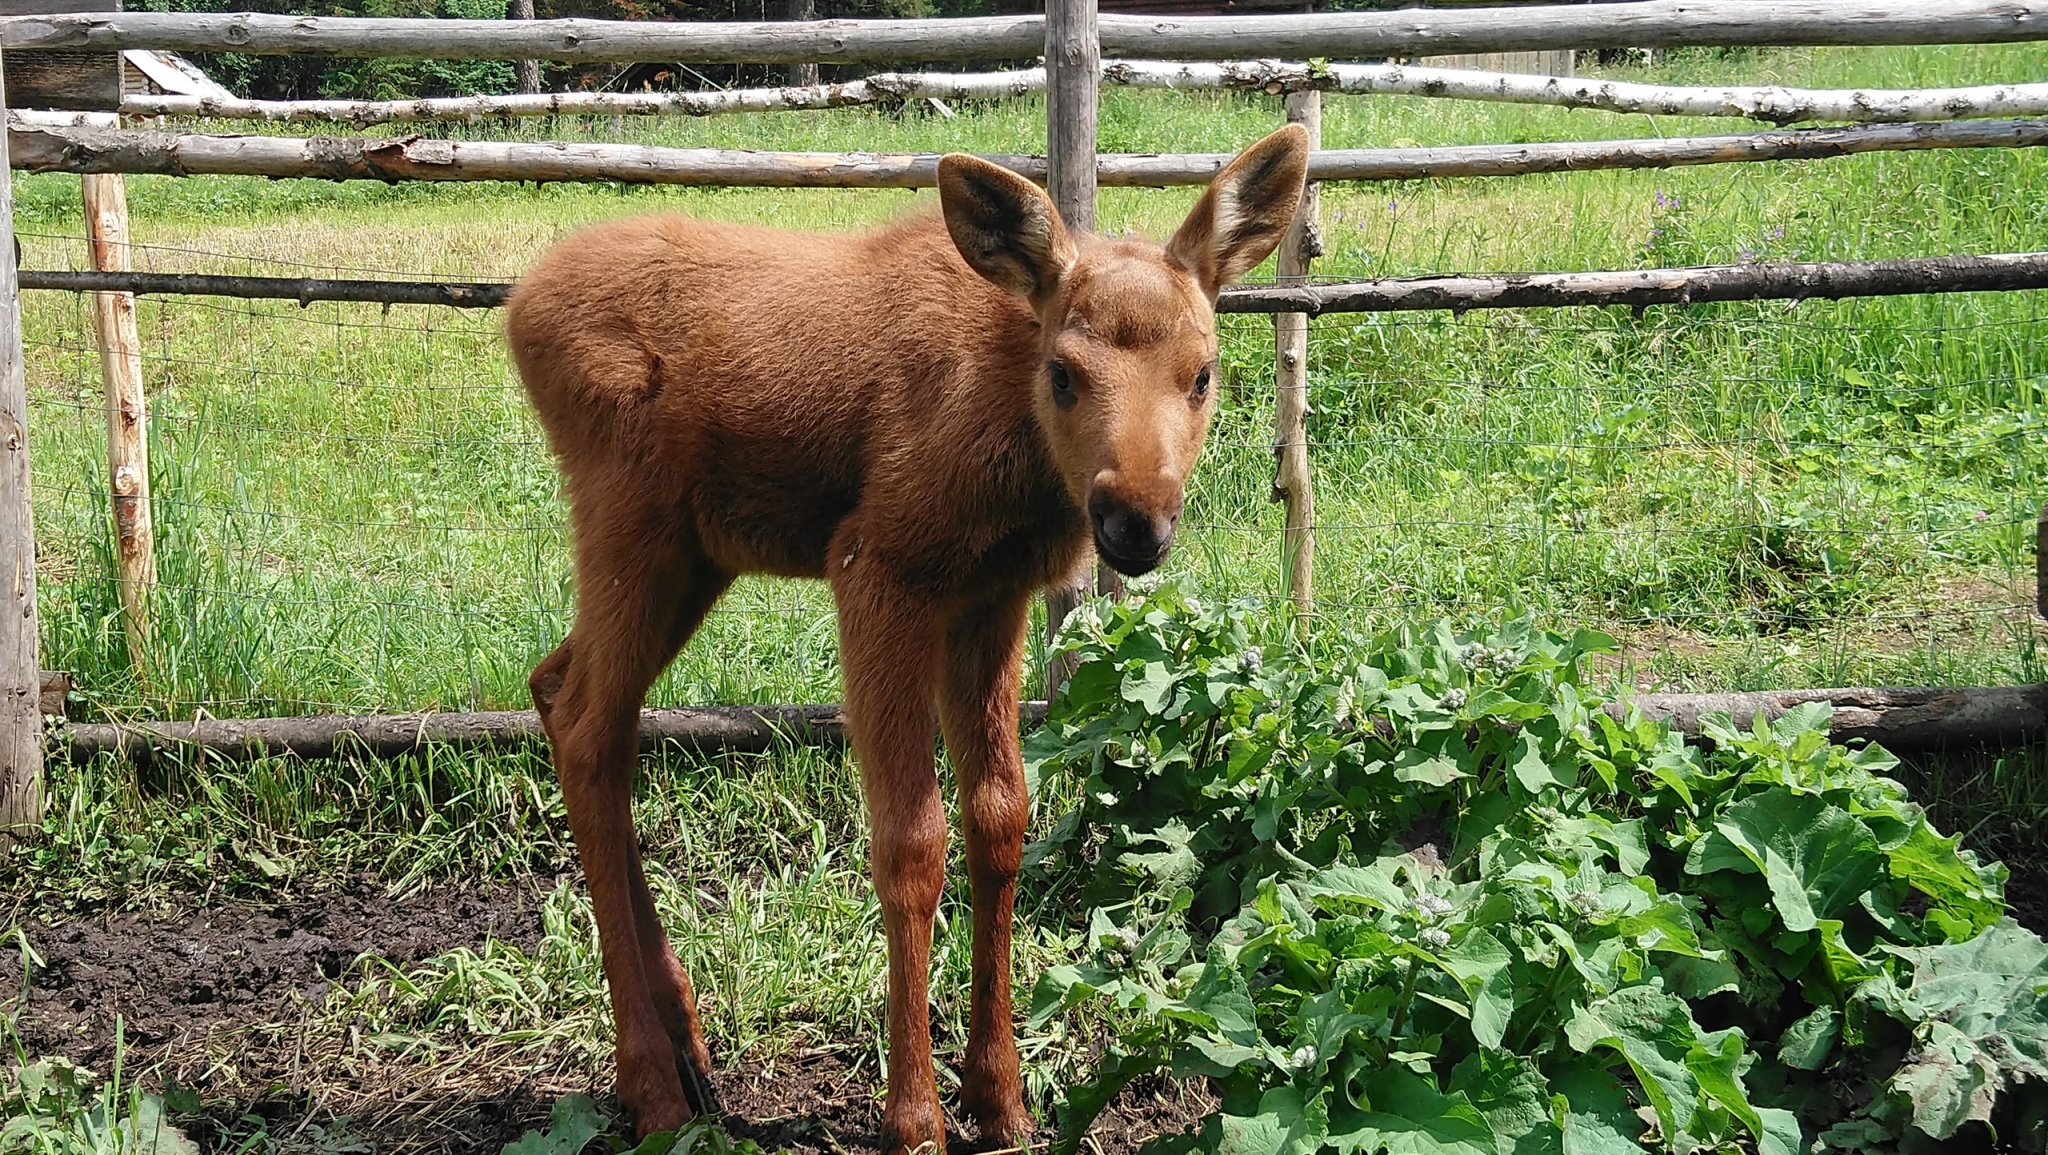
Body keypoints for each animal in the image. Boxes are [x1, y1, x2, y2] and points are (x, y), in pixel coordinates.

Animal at [509, 126, 1310, 1155]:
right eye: (1064, 373)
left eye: (1202, 372)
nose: (1135, 518)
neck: (1016, 446)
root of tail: (517, 308)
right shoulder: (878, 569)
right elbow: (910, 840)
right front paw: (916, 1114)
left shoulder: (992, 598)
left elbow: (1001, 818)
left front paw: (1001, 1096)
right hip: (631, 526)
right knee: (588, 726)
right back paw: (651, 1084)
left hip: (693, 555)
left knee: (556, 683)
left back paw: (685, 1042)